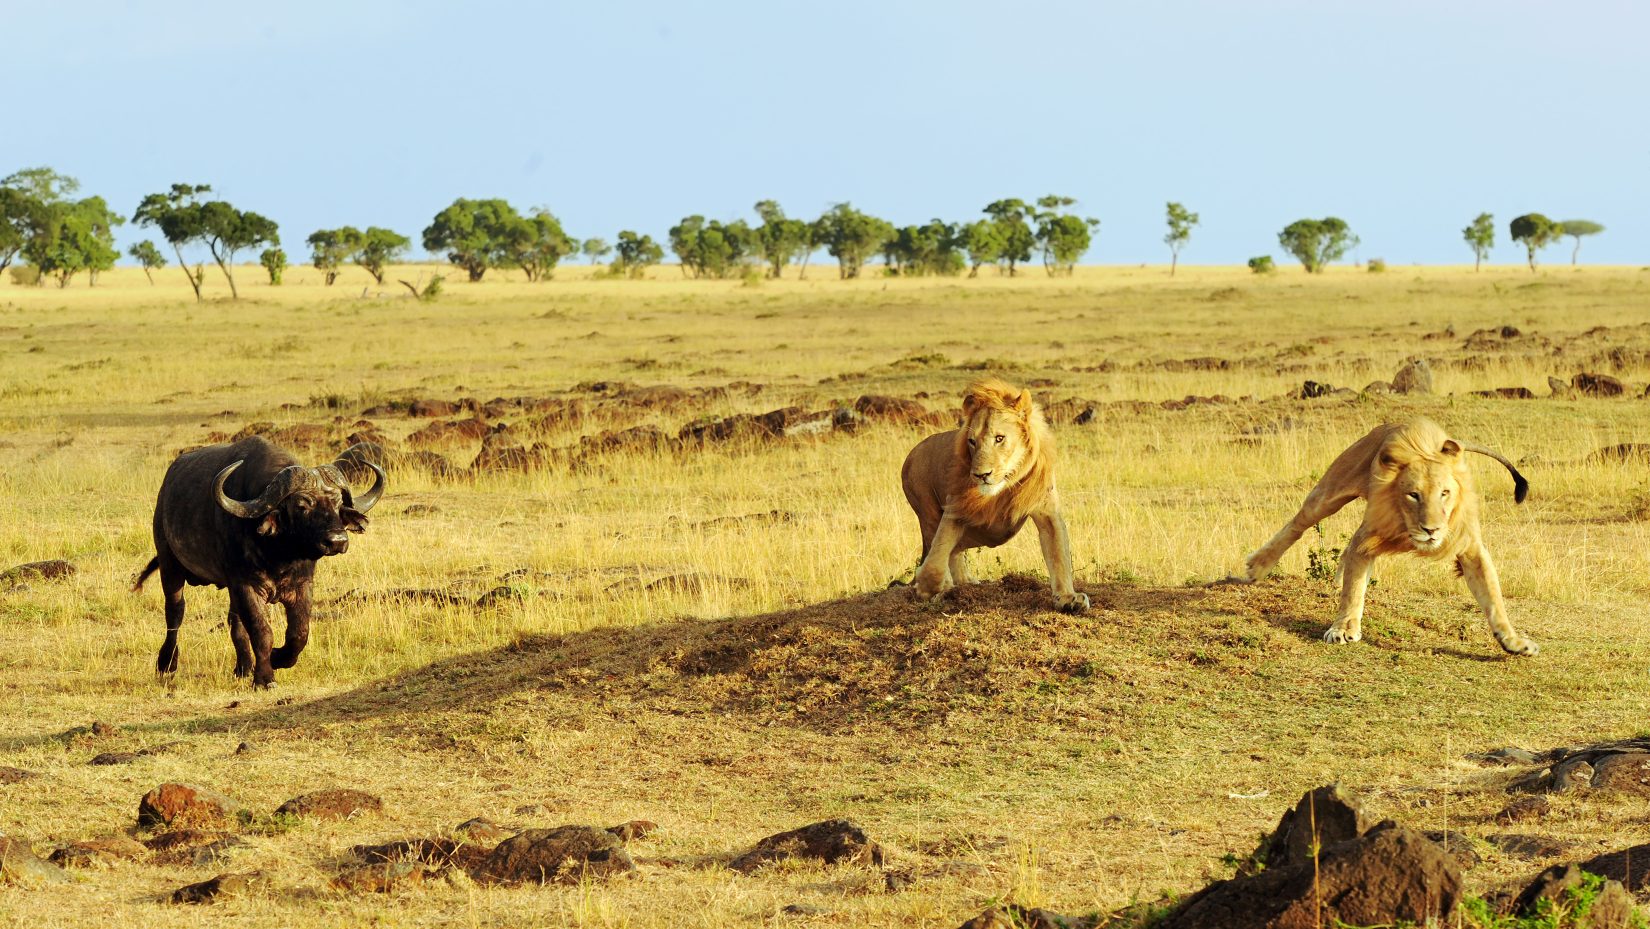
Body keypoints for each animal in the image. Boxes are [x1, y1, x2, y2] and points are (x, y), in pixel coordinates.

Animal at [133, 438, 384, 689]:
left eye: (337, 505)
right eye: (302, 506)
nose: (337, 541)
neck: (279, 555)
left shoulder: (302, 586)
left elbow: (299, 633)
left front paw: (278, 658)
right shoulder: (247, 586)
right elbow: (261, 631)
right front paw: (265, 677)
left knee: (234, 622)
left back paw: (243, 667)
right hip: (169, 565)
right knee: (175, 613)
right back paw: (167, 664)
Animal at [897, 374, 1089, 613]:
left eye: (999, 438)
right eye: (972, 441)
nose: (981, 475)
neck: (1005, 485)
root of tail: (913, 452)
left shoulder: (1047, 511)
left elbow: (1058, 554)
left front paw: (1067, 598)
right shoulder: (956, 506)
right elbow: (937, 553)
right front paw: (928, 587)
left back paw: (965, 582)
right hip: (927, 510)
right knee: (941, 546)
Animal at [1240, 417, 1537, 656]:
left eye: (1445, 493)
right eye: (1413, 495)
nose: (1432, 530)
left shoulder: (1470, 547)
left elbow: (1493, 598)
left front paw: (1513, 642)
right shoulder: (1369, 535)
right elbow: (1354, 589)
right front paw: (1343, 628)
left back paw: (1335, 578)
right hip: (1331, 490)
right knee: (1298, 524)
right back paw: (1259, 565)